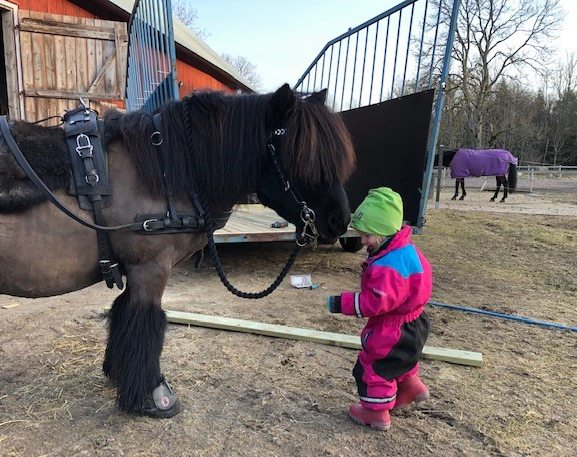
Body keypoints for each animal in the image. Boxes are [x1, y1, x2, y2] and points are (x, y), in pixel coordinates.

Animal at [0, 84, 356, 418]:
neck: (164, 169)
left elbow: (124, 315)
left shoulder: (136, 269)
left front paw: (120, 375)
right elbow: (145, 323)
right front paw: (151, 396)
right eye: (305, 157)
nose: (340, 220)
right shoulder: (151, 267)